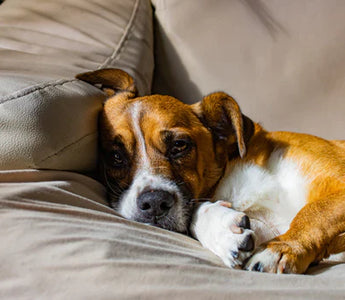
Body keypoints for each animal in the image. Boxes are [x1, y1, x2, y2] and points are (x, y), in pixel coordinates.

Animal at [76, 68, 344, 274]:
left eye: (179, 145)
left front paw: (282, 248)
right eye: (116, 156)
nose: (153, 204)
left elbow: (314, 211)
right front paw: (221, 230)